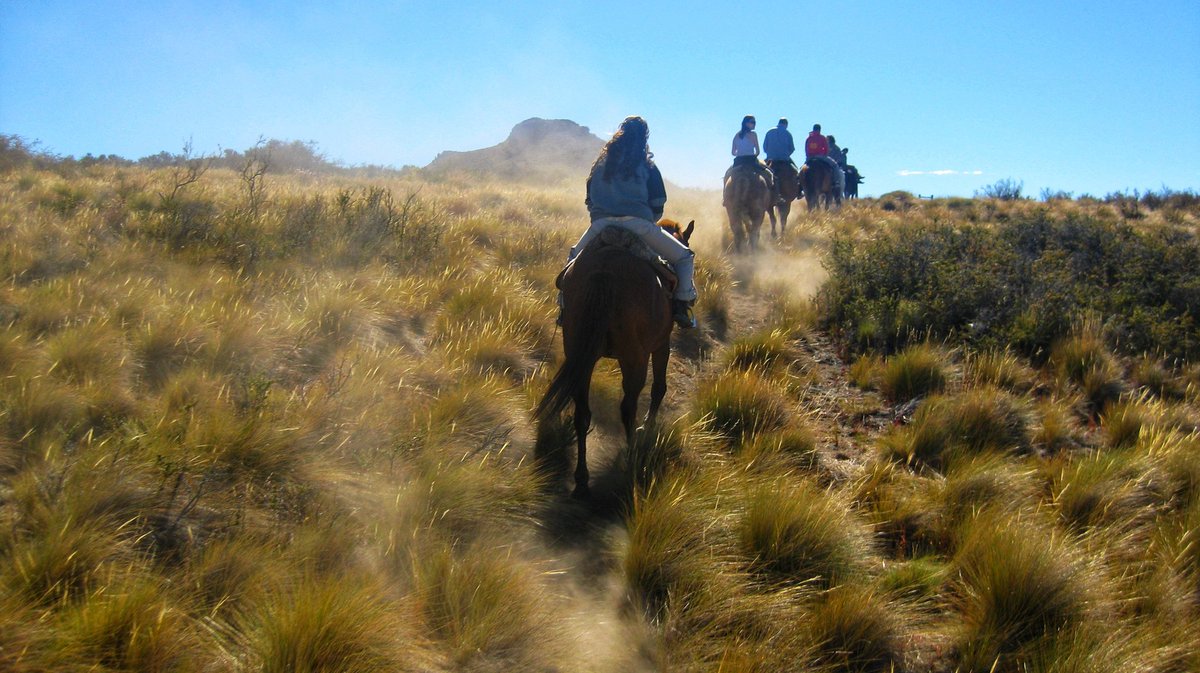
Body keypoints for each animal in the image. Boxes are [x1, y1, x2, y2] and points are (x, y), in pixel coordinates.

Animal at [535, 218, 696, 496]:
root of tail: (605, 272)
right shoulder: (661, 344)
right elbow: (659, 387)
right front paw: (647, 426)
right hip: (634, 357)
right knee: (628, 407)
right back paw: (632, 460)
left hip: (581, 356)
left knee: (582, 411)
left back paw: (581, 478)